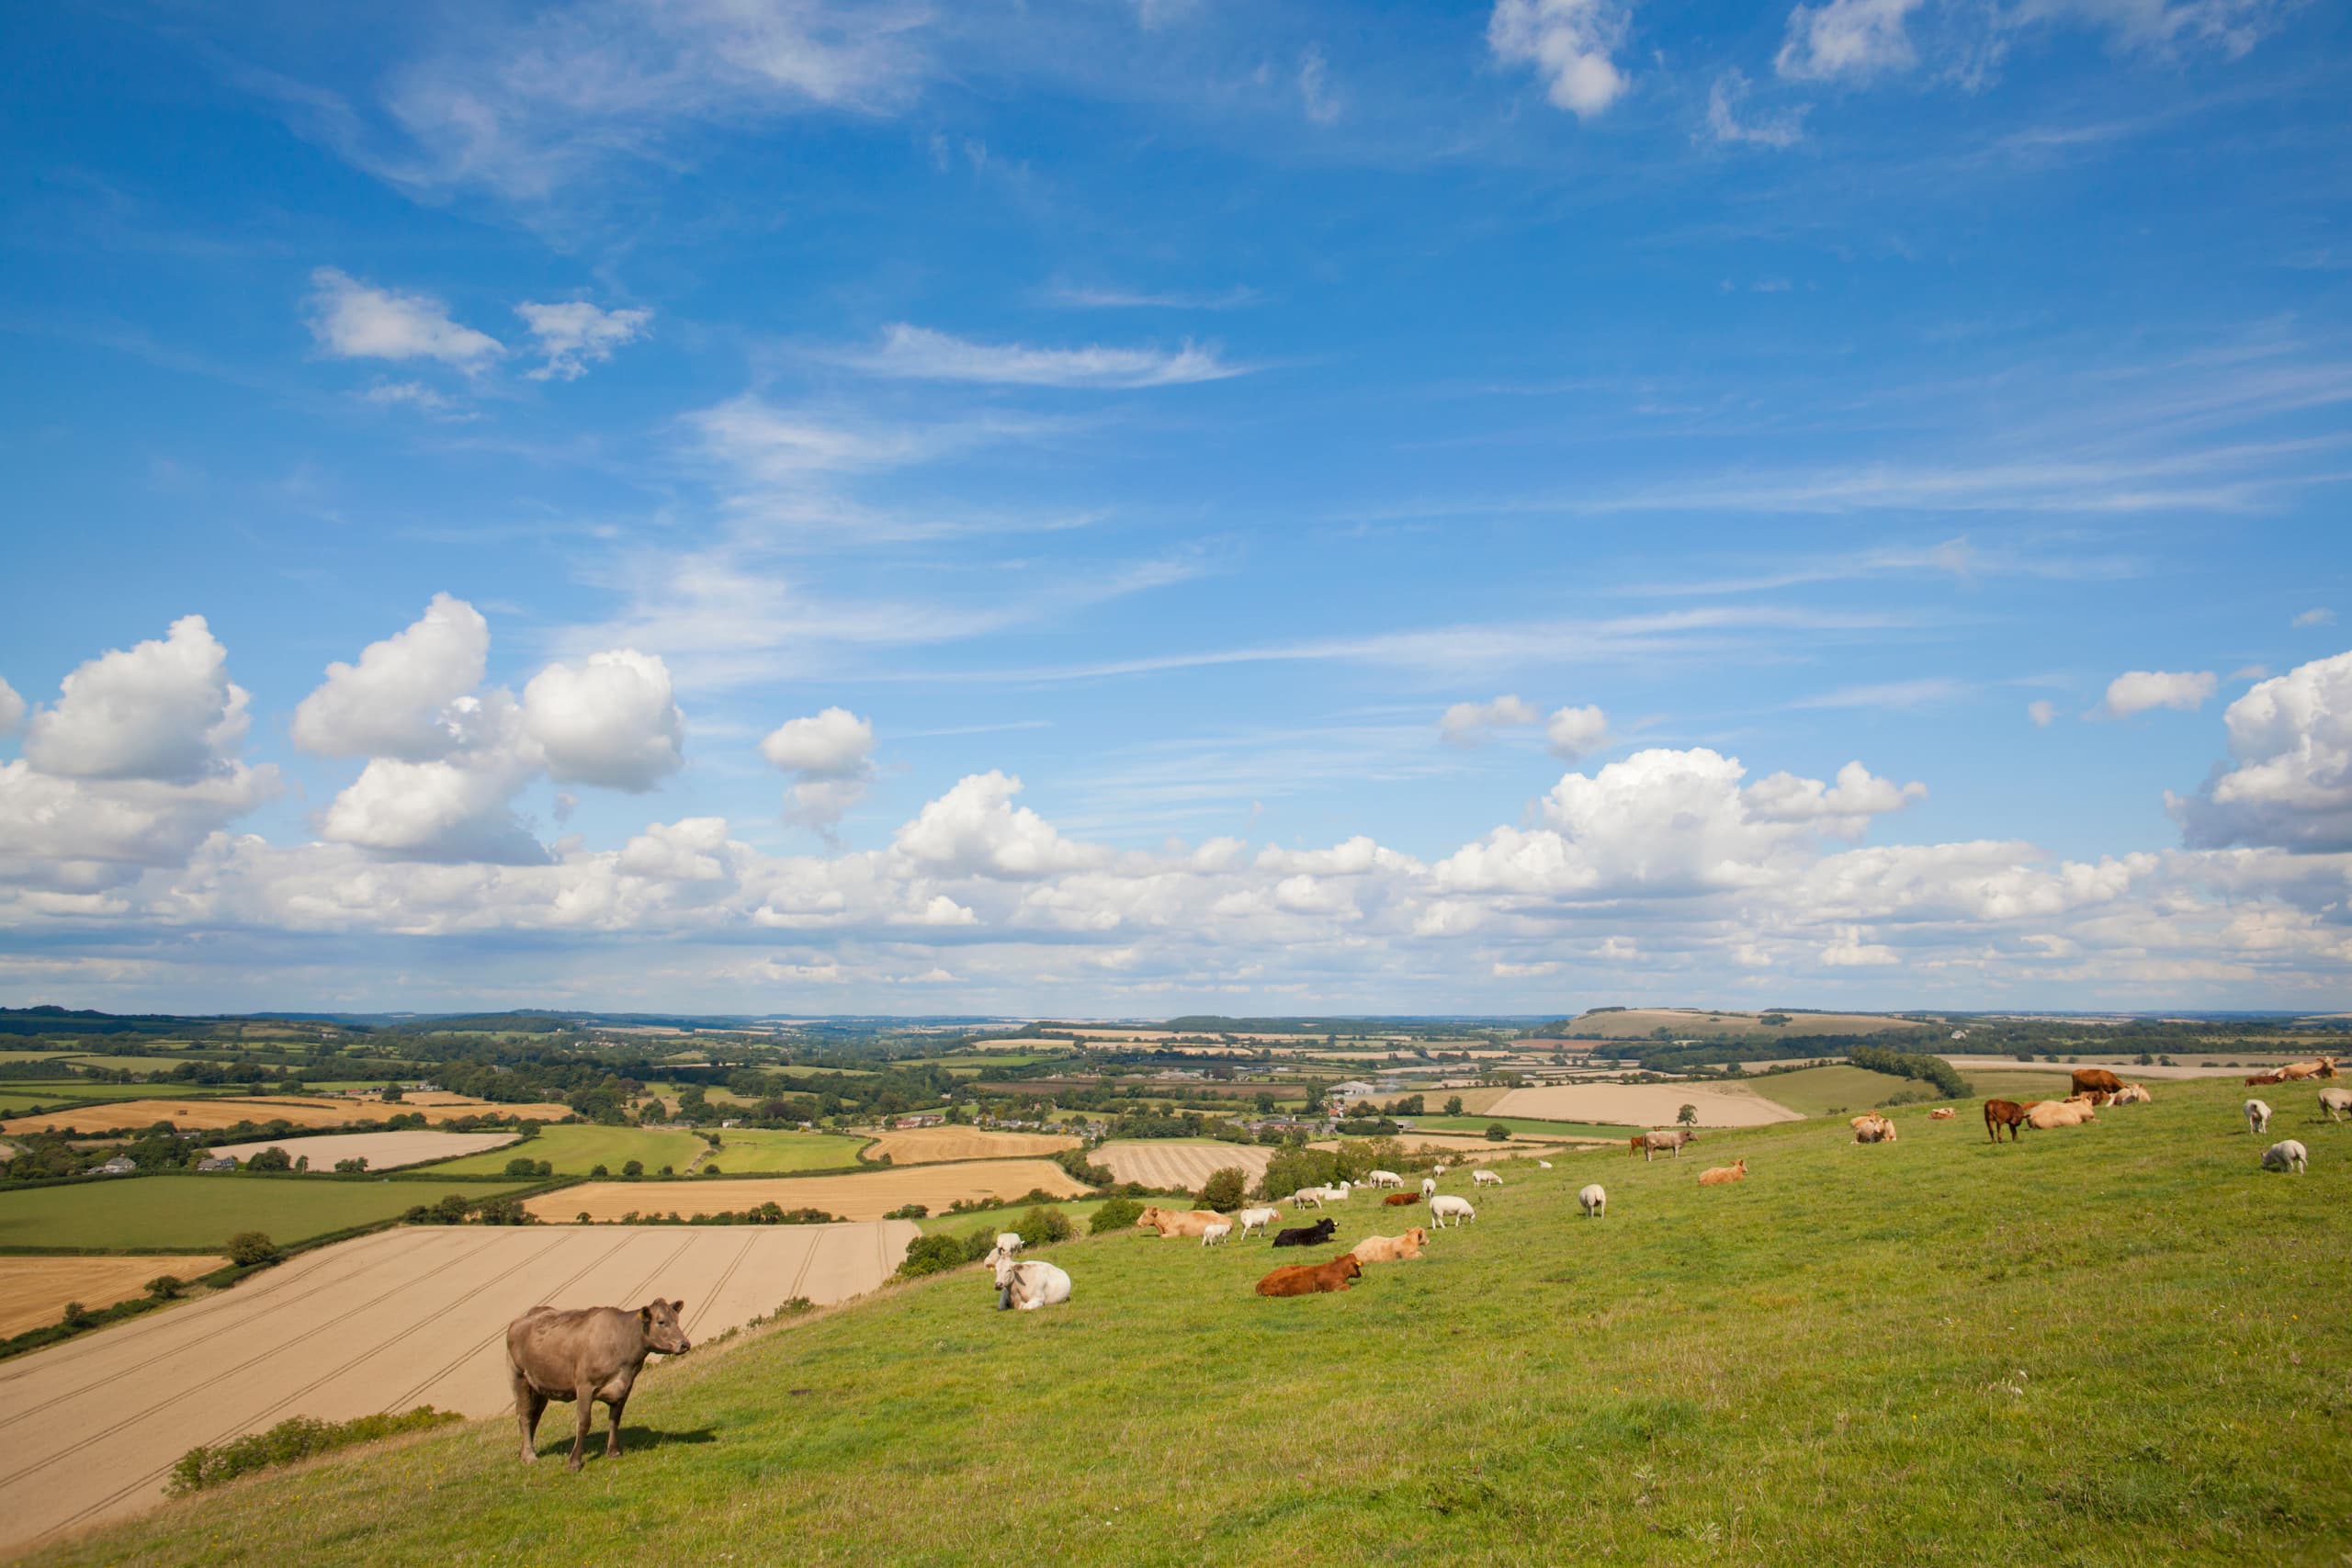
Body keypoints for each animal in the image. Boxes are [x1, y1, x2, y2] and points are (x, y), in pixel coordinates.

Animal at [507, 1299, 690, 1470]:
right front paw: (574, 1462)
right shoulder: (585, 1386)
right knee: (524, 1415)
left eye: (676, 1319)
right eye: (661, 1322)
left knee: (535, 1415)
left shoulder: (625, 1386)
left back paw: (524, 1452)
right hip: (518, 1376)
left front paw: (614, 1452)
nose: (685, 1344)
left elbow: (615, 1419)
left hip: (540, 1387)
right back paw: (530, 1456)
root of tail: (520, 1319)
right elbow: (584, 1422)